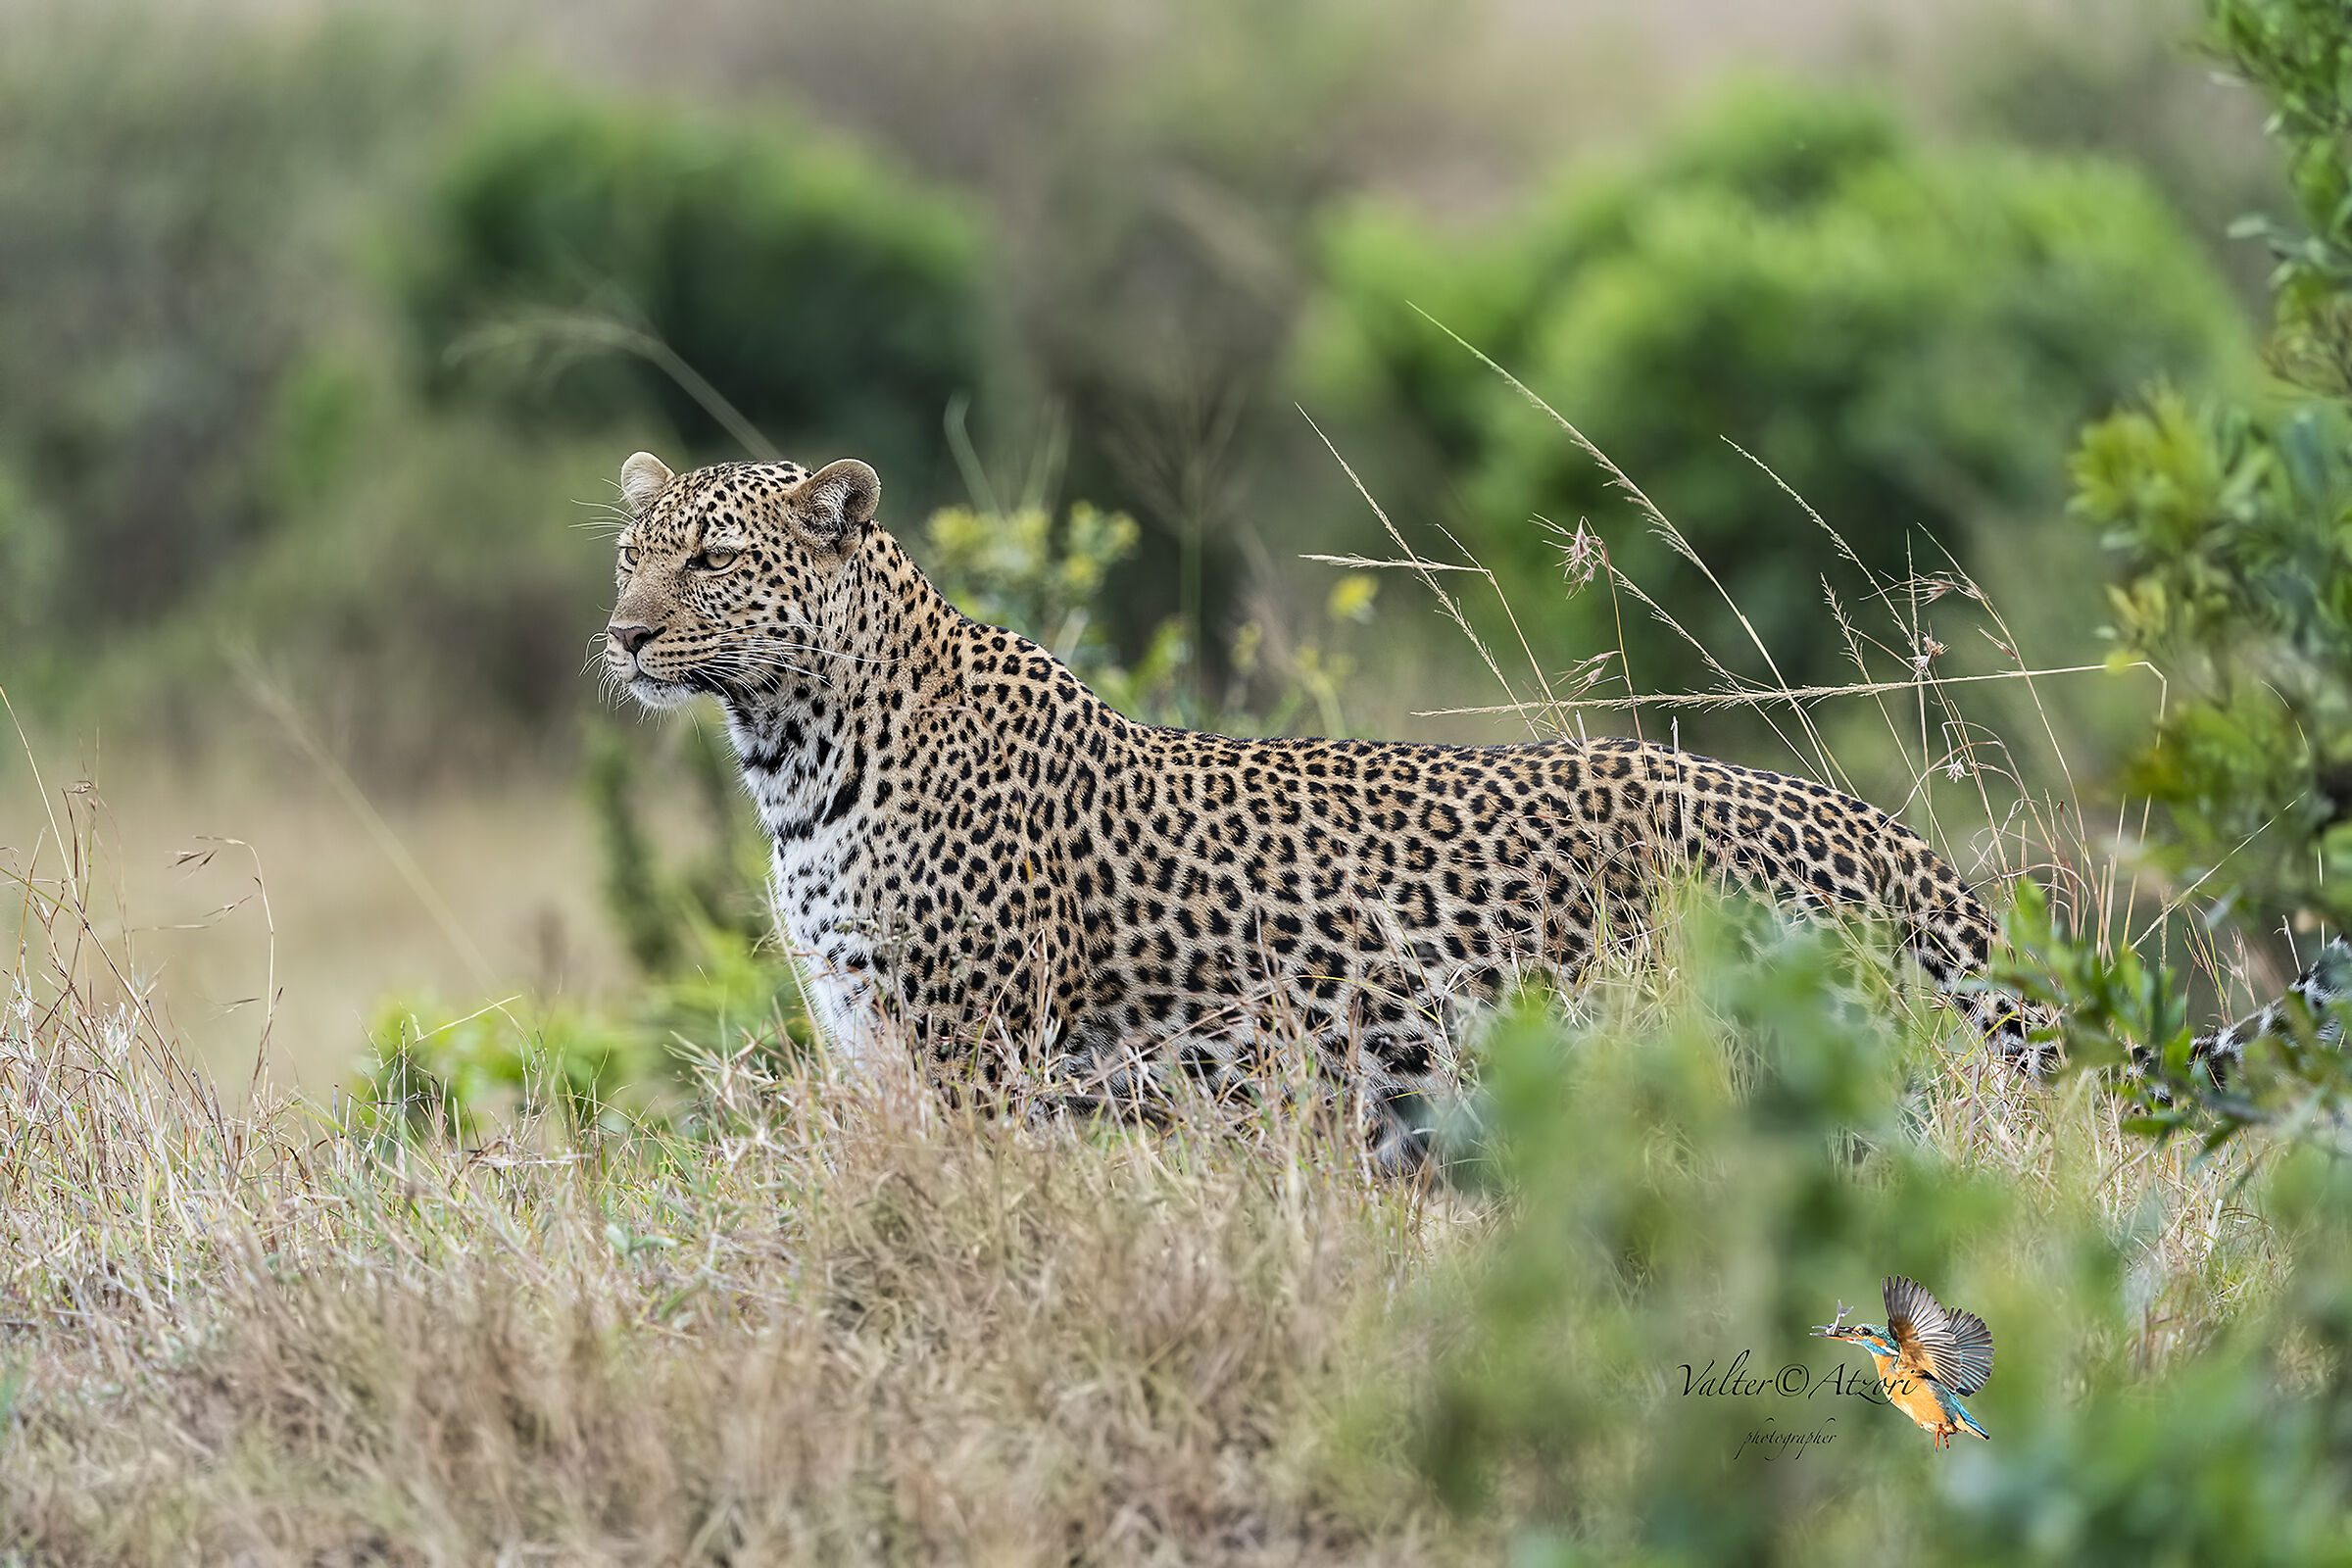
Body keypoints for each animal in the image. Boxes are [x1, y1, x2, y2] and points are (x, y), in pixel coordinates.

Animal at [601, 450, 2347, 1161]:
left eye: (714, 560)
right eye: (630, 551)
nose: (617, 635)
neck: (794, 748)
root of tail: (1875, 832)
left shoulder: (974, 1059)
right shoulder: (885, 1053)